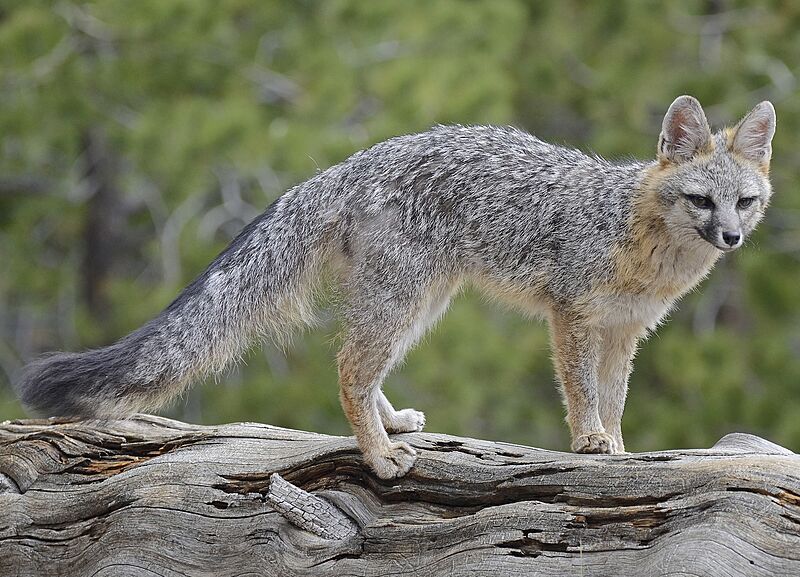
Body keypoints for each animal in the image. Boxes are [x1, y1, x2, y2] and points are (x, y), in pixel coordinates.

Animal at [15, 96, 776, 479]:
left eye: (746, 203)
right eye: (702, 200)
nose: (731, 239)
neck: (636, 234)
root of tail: (348, 164)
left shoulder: (625, 330)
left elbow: (614, 398)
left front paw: (617, 444)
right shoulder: (572, 316)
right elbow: (583, 392)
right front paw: (590, 442)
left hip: (421, 304)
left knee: (363, 368)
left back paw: (390, 426)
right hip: (405, 301)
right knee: (349, 369)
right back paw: (378, 455)